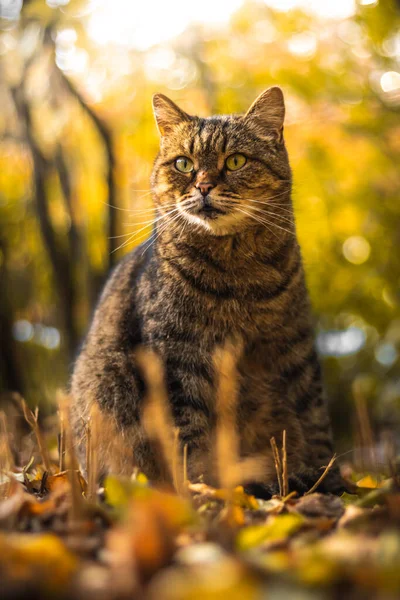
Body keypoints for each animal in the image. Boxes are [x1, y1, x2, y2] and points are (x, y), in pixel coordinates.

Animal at [71, 85, 344, 496]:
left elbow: (313, 418)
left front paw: (323, 475)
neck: (238, 274)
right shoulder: (178, 357)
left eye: (235, 161)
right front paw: (204, 491)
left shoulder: (294, 345)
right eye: (184, 164)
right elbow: (190, 434)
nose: (203, 186)